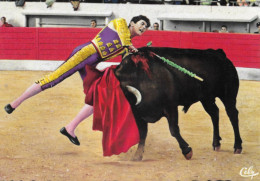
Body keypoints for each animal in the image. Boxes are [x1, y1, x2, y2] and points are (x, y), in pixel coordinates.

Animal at [114, 47, 242, 161]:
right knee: (214, 113)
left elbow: (174, 129)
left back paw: (237, 146)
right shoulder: (137, 112)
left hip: (228, 95)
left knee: (232, 114)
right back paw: (216, 143)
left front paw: (187, 151)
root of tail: (219, 54)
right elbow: (142, 132)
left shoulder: (171, 106)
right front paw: (137, 155)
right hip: (207, 98)